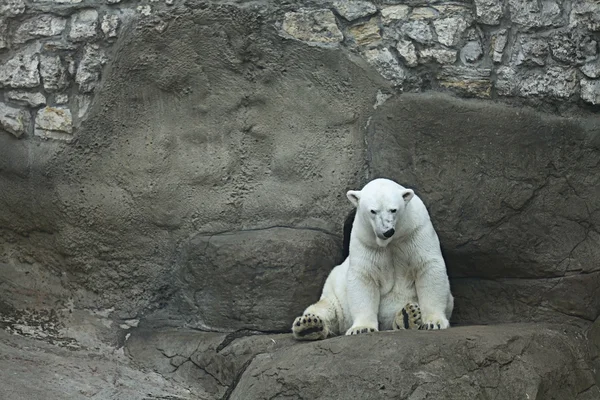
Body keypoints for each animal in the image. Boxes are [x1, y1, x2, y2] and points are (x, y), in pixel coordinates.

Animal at [292, 178, 454, 340]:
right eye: (373, 211)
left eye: (393, 210)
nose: (387, 231)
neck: (391, 240)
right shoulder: (365, 240)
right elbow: (364, 277)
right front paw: (362, 328)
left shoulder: (415, 232)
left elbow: (428, 266)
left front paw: (433, 322)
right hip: (335, 296)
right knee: (325, 309)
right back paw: (309, 325)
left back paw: (407, 316)